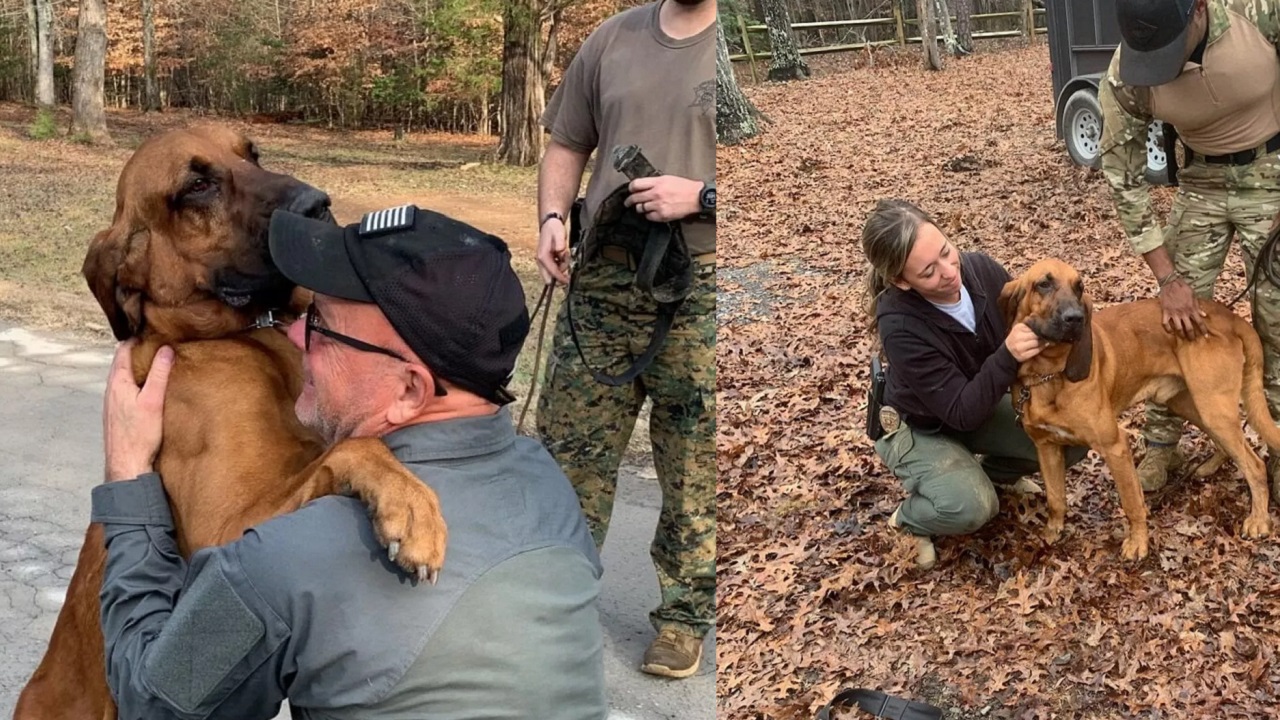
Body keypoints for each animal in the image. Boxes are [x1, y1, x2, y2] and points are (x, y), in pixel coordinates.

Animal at [15, 124, 450, 717]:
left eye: (253, 154)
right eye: (197, 186)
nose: (317, 205)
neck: (244, 336)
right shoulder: (222, 534)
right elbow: (351, 447)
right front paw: (412, 507)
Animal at [998, 257, 1280, 561]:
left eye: (1079, 287)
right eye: (1043, 284)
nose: (1076, 319)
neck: (1048, 374)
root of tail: (1230, 317)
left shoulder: (1115, 446)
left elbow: (1132, 503)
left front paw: (1138, 543)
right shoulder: (1046, 446)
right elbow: (1055, 498)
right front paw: (1053, 531)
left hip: (1213, 405)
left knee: (1254, 464)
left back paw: (1259, 520)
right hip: (1194, 405)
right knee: (1231, 447)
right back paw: (1211, 467)